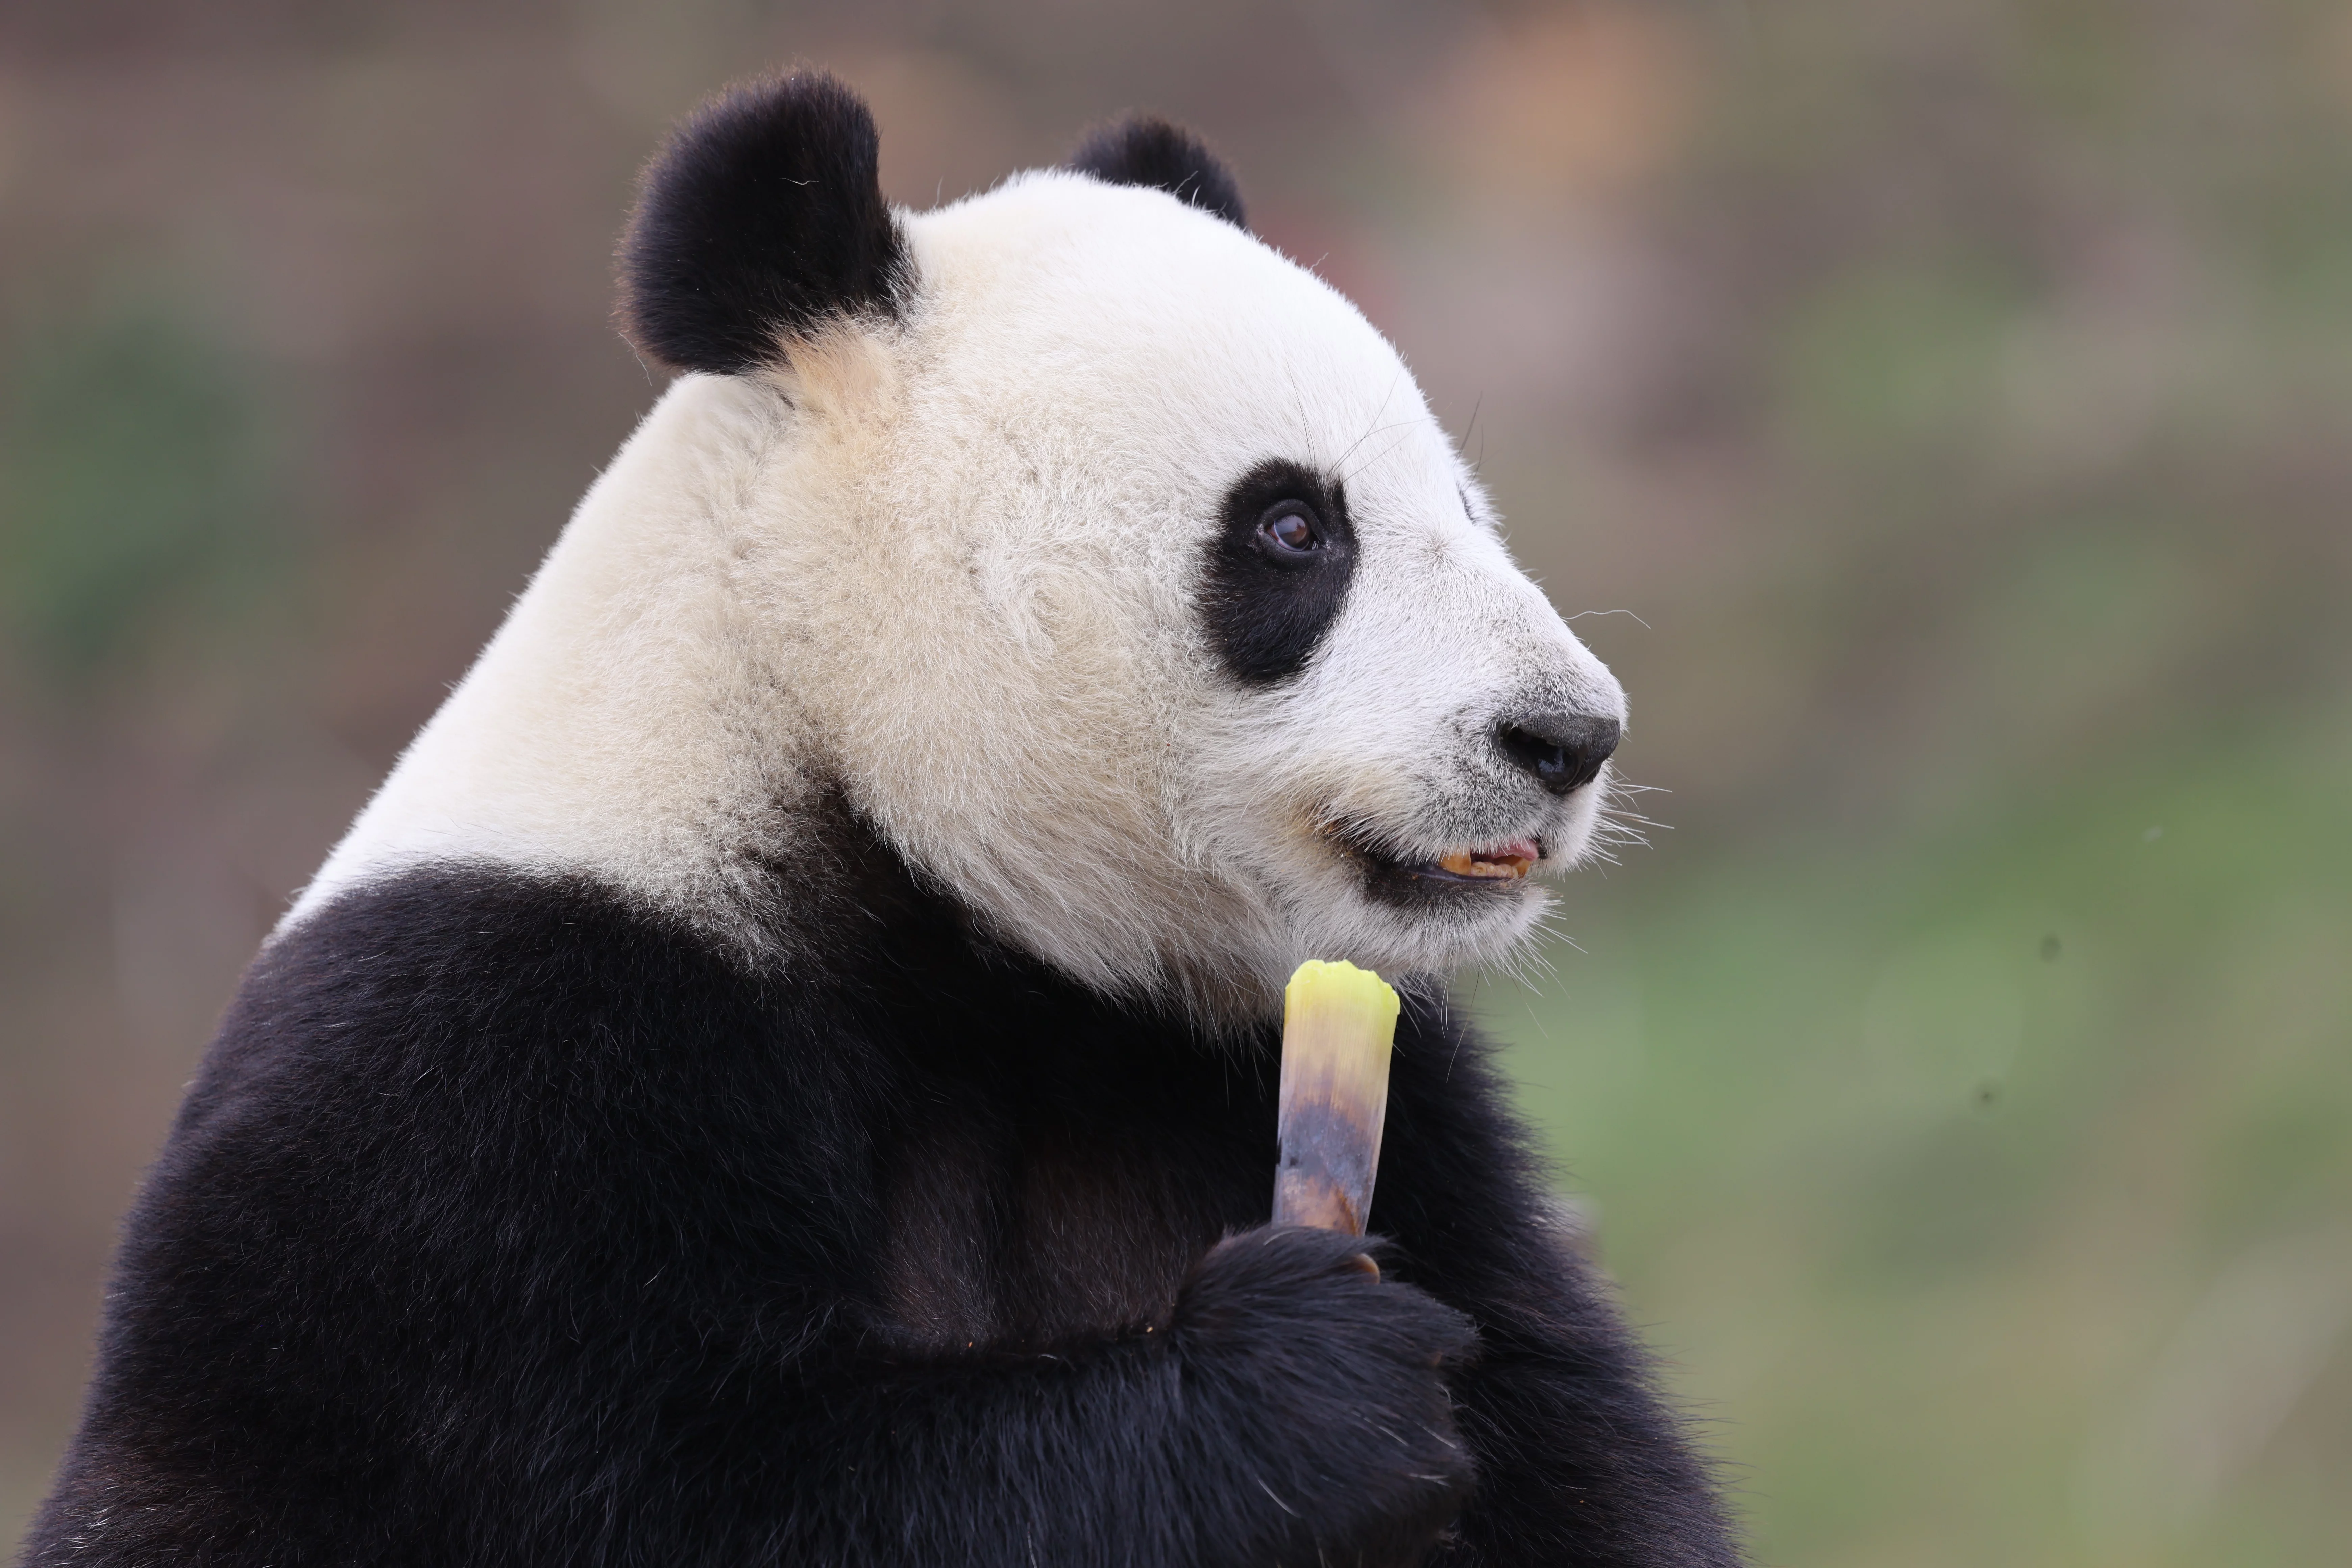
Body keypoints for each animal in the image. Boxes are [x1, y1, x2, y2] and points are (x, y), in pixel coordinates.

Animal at [27, 72, 1739, 1568]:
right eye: (1293, 526)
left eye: (1466, 505)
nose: (1566, 737)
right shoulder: (483, 1090)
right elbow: (691, 1493)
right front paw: (1311, 1389)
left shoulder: (1314, 1088)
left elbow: (1581, 1462)